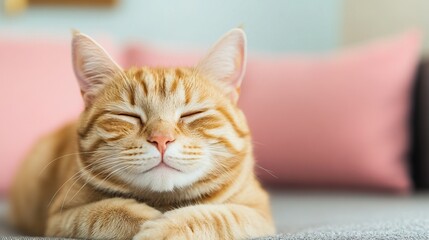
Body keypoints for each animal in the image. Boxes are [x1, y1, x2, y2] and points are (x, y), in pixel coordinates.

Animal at [10, 28, 274, 240]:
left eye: (191, 114)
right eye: (129, 116)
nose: (161, 139)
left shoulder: (258, 214)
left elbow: (216, 217)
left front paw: (164, 228)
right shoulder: (61, 218)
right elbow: (103, 212)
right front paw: (146, 220)